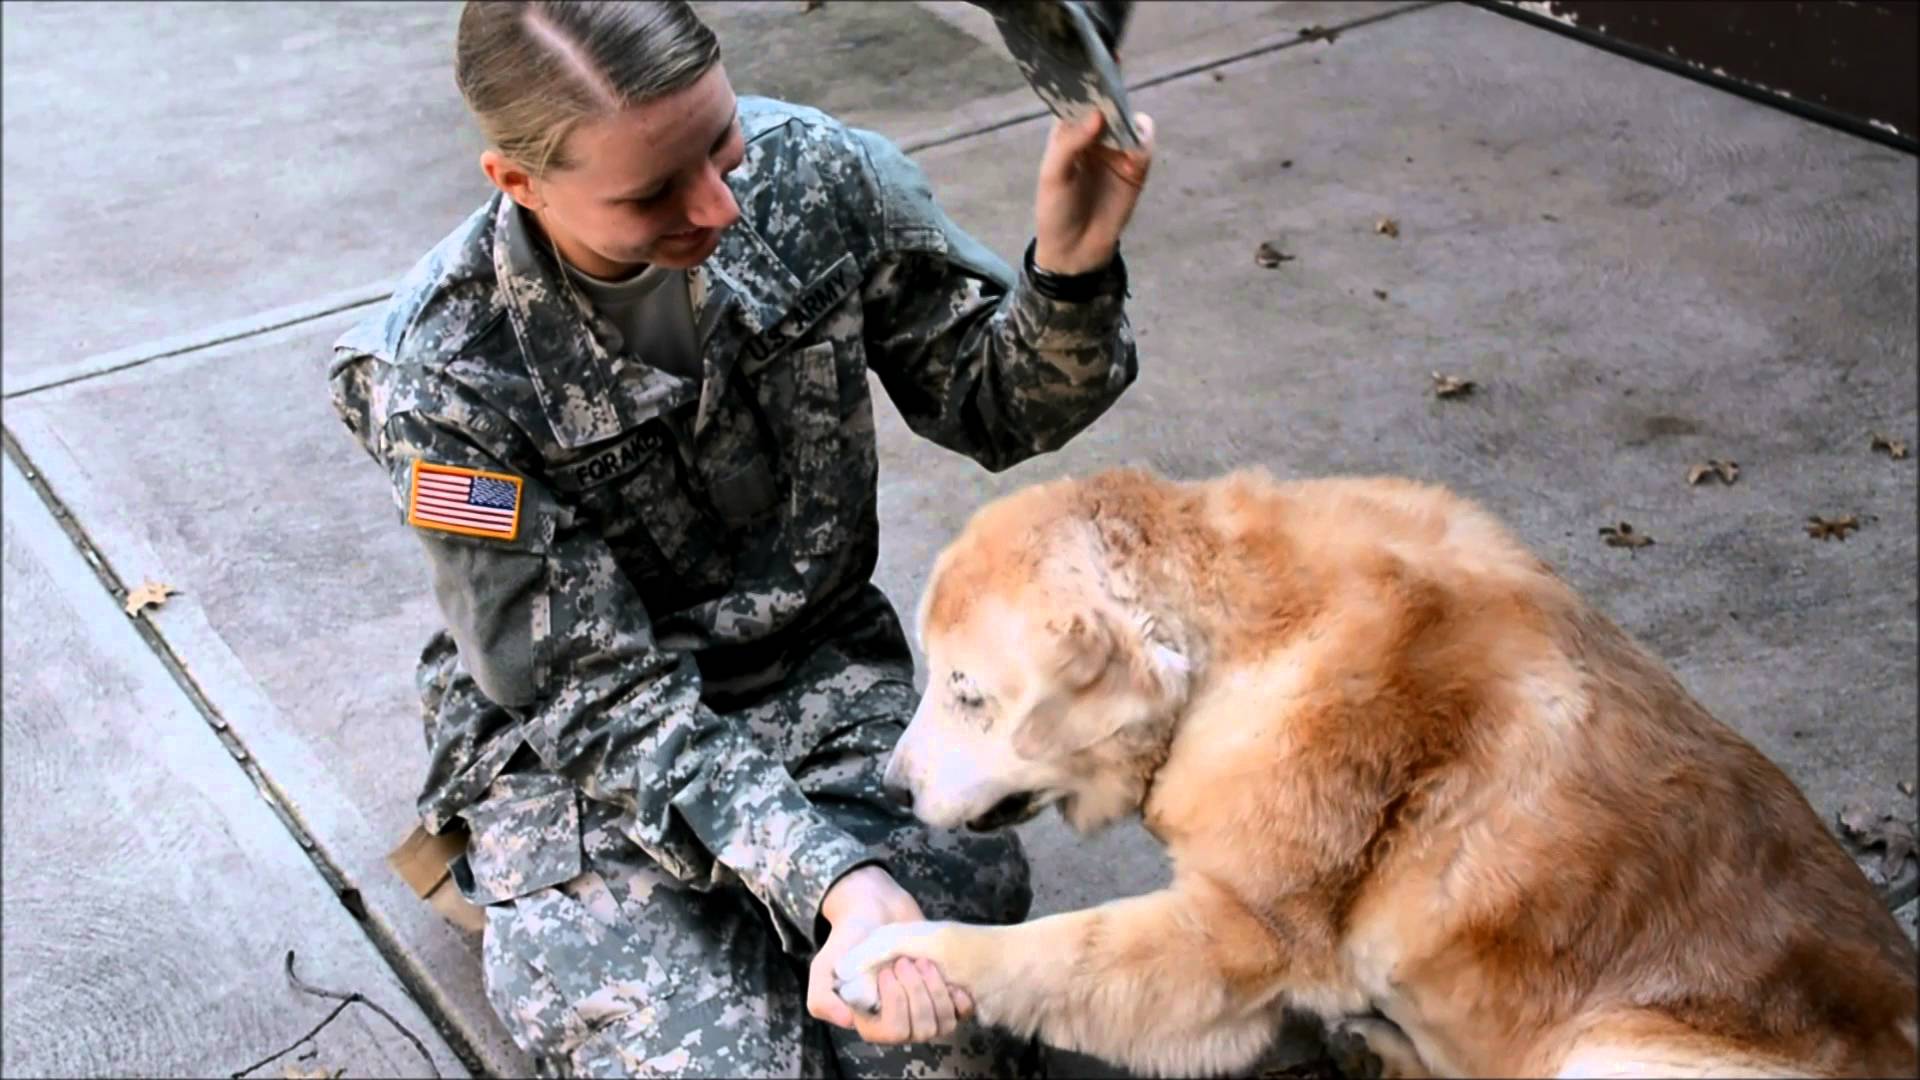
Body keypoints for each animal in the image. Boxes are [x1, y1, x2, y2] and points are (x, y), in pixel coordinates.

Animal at [833, 468, 1912, 1076]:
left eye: (969, 693)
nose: (889, 790)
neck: (1240, 639)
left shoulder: (1240, 940)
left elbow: (1053, 951)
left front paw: (892, 953)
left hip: (1619, 1050)